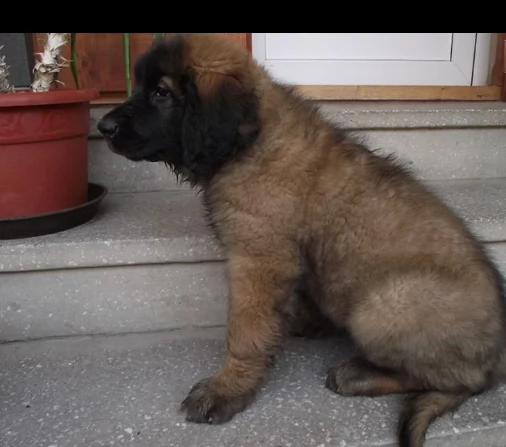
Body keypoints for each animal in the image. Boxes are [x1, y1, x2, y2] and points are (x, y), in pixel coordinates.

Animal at [96, 33, 506, 446]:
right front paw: (302, 324)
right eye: (140, 86)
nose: (103, 126)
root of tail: (496, 358)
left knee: (460, 381)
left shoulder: (257, 259)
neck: (250, 144)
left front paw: (226, 389)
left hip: (383, 306)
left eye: (161, 93)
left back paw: (359, 375)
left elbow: (243, 333)